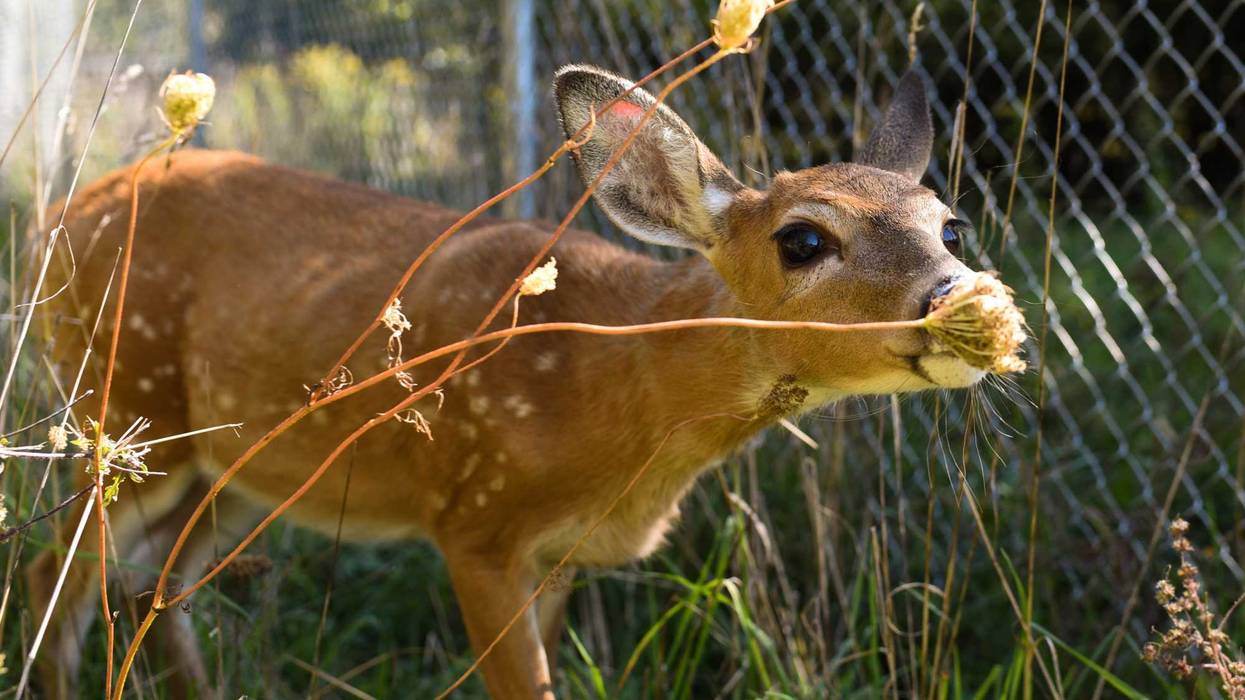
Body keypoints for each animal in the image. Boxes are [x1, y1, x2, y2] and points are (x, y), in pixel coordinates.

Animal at [29, 64, 993, 698]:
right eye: (801, 239)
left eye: (949, 226)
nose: (953, 296)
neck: (608, 389)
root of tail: (59, 215)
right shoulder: (474, 519)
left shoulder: (556, 554)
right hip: (122, 407)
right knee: (58, 575)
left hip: (226, 467)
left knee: (147, 589)